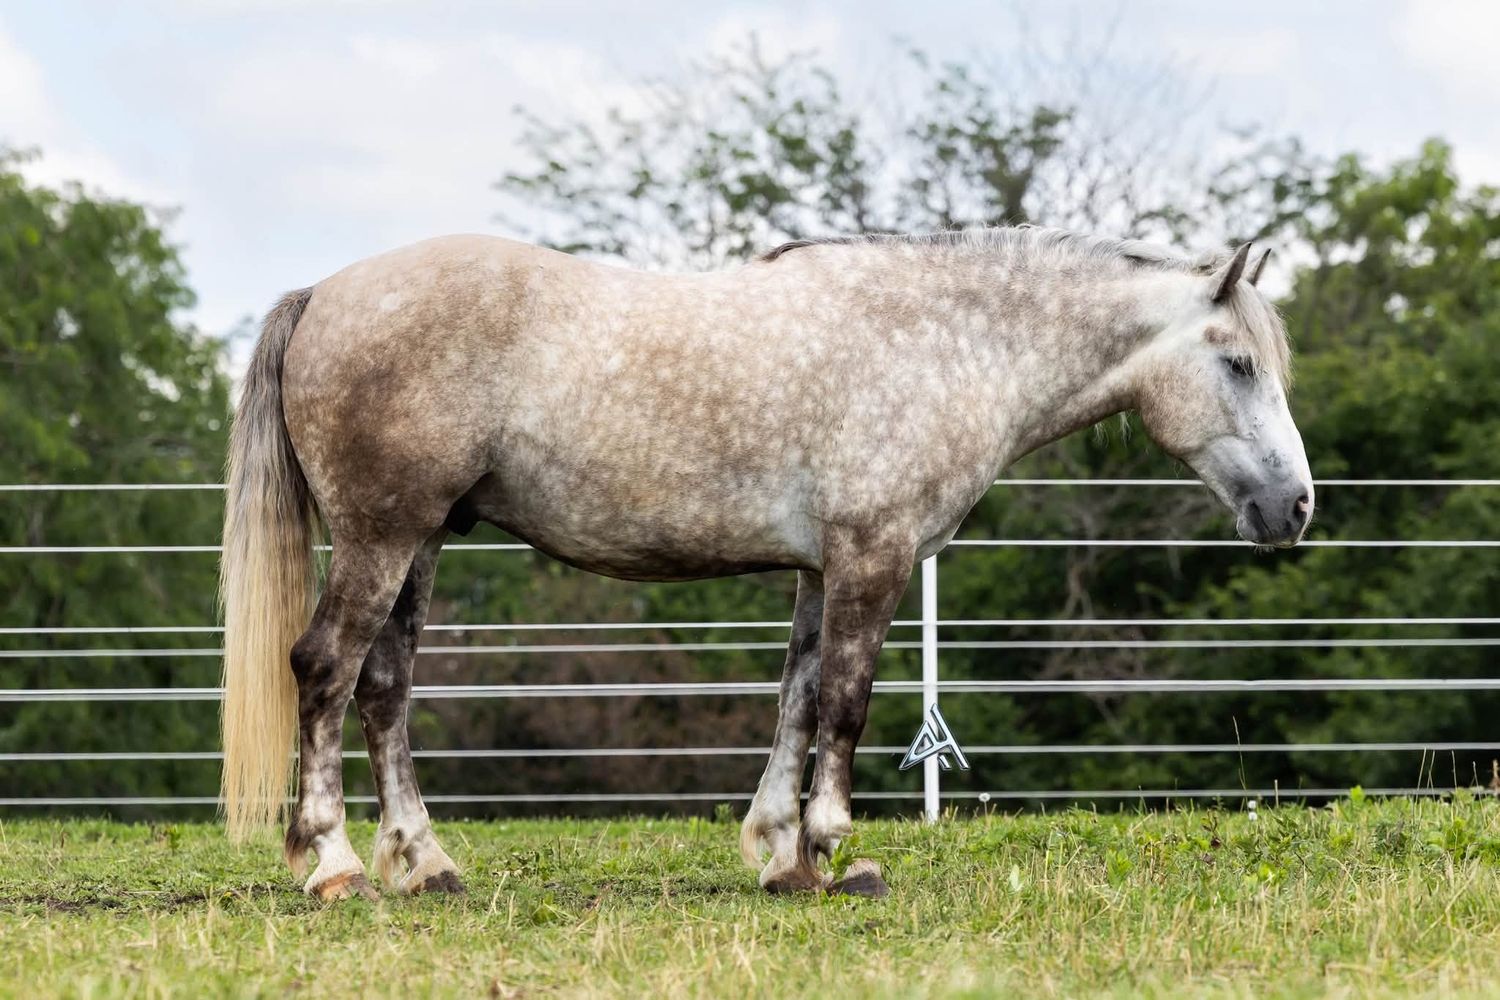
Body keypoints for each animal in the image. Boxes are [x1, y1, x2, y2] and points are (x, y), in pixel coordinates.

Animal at [219, 225, 1313, 901]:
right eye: (1238, 364)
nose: (1294, 505)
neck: (944, 344)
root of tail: (323, 293)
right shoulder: (873, 556)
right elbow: (847, 703)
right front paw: (832, 849)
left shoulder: (822, 568)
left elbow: (798, 700)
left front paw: (782, 856)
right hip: (383, 536)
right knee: (326, 670)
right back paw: (334, 865)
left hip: (424, 541)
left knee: (384, 689)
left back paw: (426, 862)